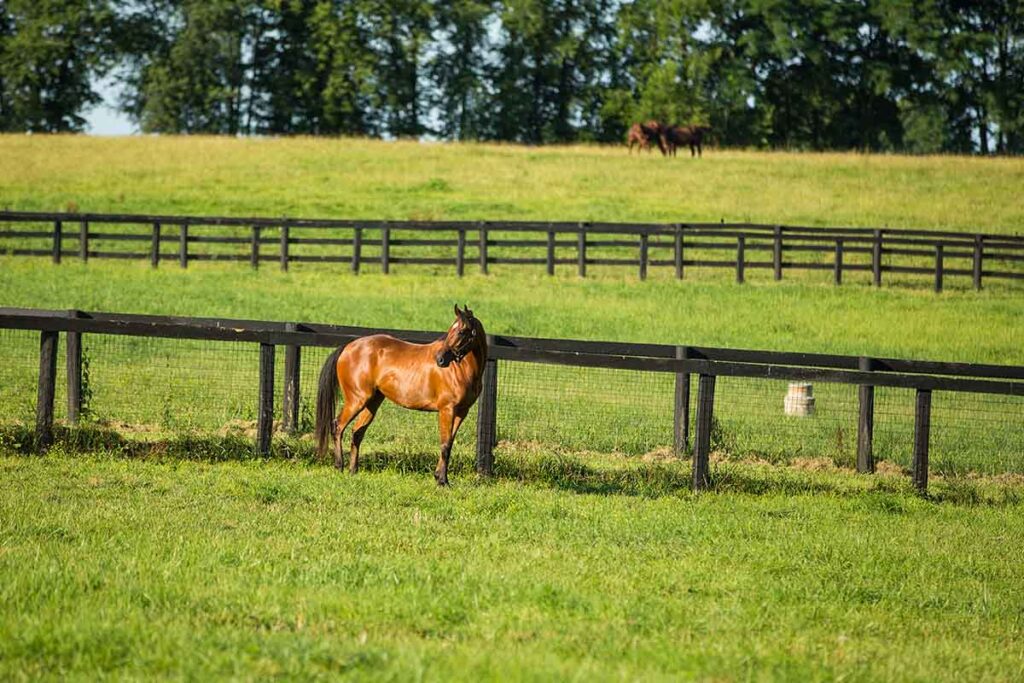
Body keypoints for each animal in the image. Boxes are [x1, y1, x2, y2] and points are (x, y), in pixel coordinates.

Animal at [311, 305, 487, 485]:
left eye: (461, 331)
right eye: (451, 329)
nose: (440, 359)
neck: (461, 370)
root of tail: (348, 347)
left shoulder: (461, 412)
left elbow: (449, 443)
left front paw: (439, 477)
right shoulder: (447, 410)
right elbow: (445, 445)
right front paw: (442, 481)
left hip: (372, 402)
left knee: (357, 432)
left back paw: (353, 470)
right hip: (356, 401)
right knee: (338, 426)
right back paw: (339, 466)